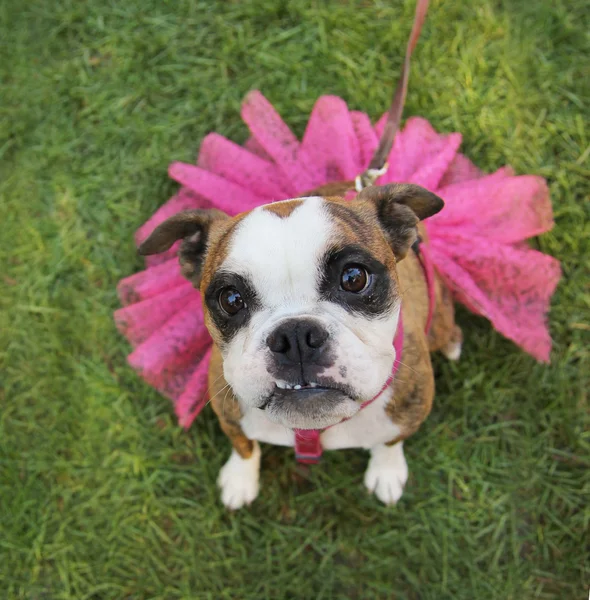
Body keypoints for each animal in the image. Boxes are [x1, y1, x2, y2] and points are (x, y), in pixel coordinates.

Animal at [138, 180, 462, 508]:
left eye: (354, 277)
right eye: (230, 299)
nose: (295, 336)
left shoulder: (409, 412)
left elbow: (391, 441)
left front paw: (387, 471)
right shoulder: (229, 415)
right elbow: (243, 446)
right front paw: (240, 479)